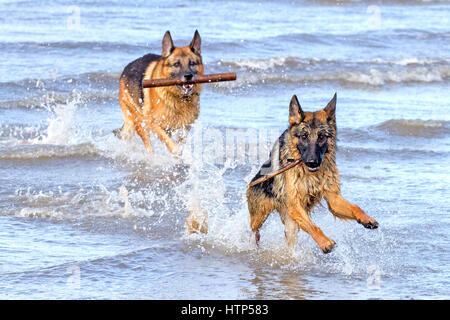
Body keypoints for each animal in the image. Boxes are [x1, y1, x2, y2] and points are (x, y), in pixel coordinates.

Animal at [248, 94, 378, 254]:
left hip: (290, 224)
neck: (310, 175)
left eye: (321, 137)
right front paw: (324, 242)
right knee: (254, 230)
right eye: (304, 136)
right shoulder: (295, 205)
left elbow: (355, 207)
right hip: (260, 215)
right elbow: (312, 226)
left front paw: (366, 218)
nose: (312, 162)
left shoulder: (333, 199)